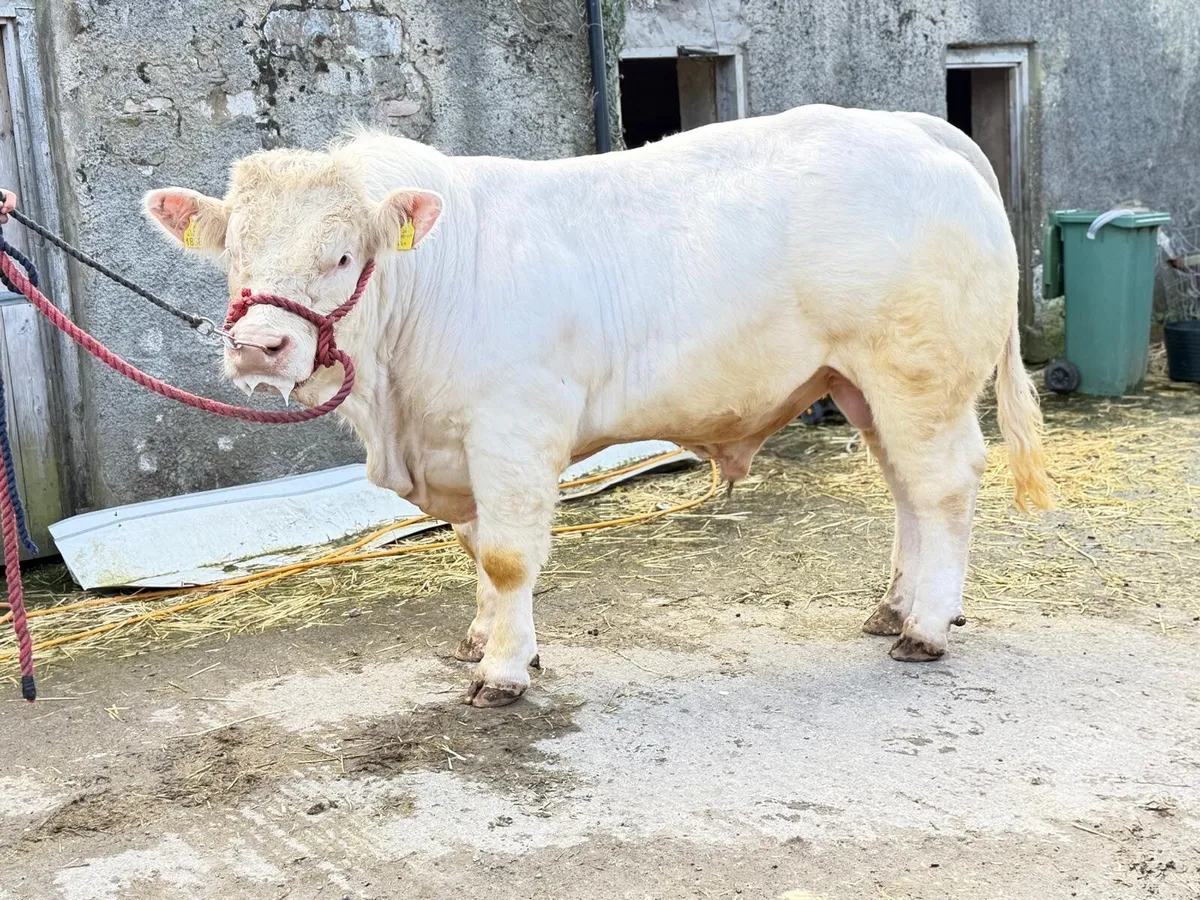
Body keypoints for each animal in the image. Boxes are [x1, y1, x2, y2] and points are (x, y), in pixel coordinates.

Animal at [145, 104, 1052, 708]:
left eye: (339, 256)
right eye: (234, 253)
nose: (259, 347)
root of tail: (915, 128)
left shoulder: (513, 429)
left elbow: (507, 557)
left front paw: (503, 672)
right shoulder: (458, 446)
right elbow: (475, 551)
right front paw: (485, 639)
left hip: (918, 375)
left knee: (942, 487)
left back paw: (924, 627)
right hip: (859, 384)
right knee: (906, 491)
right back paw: (893, 606)